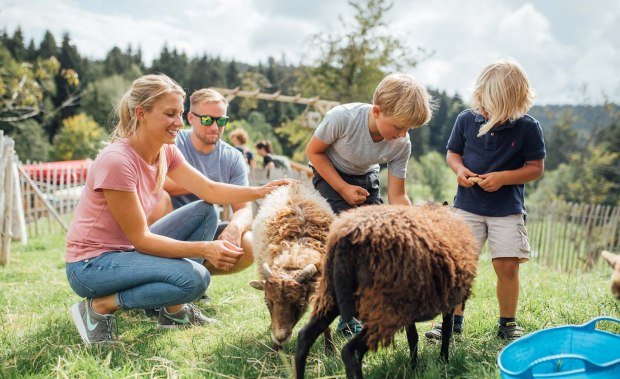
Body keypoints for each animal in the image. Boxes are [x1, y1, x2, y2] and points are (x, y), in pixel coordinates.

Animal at [296, 205, 480, 379]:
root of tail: (346, 242)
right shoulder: (448, 301)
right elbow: (447, 330)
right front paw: (444, 361)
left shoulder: (410, 309)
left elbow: (413, 337)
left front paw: (414, 367)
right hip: (385, 308)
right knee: (351, 351)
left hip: (333, 296)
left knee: (305, 337)